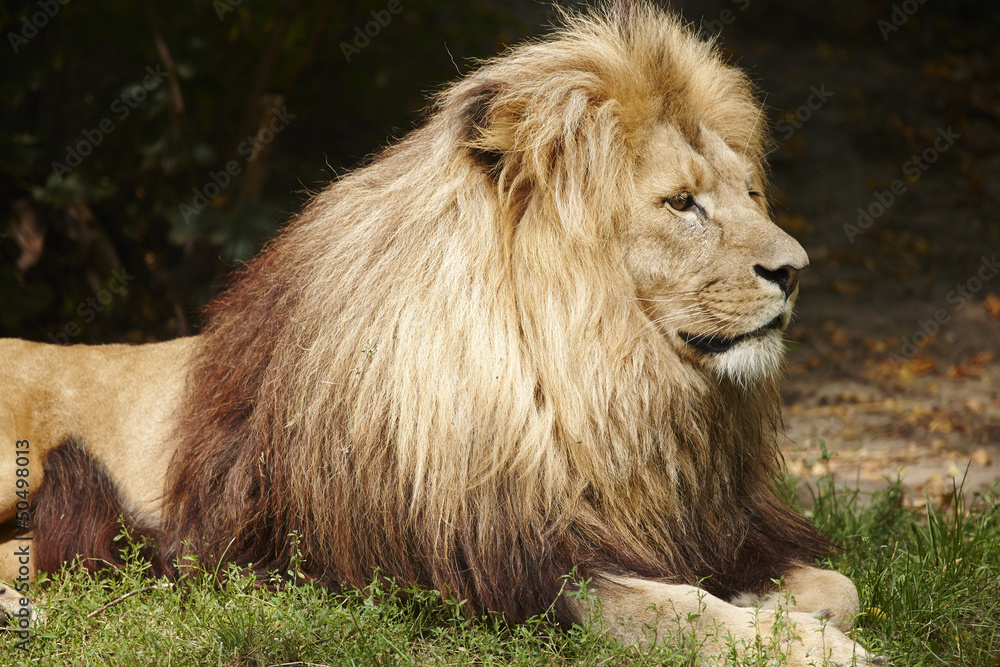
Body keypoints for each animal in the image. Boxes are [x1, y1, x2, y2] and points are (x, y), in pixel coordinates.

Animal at [0, 3, 876, 664]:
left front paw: (806, 616)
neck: (604, 388)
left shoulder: (693, 532)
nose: (795, 269)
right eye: (681, 203)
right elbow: (678, 610)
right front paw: (809, 646)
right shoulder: (500, 569)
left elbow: (842, 586)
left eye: (749, 191)